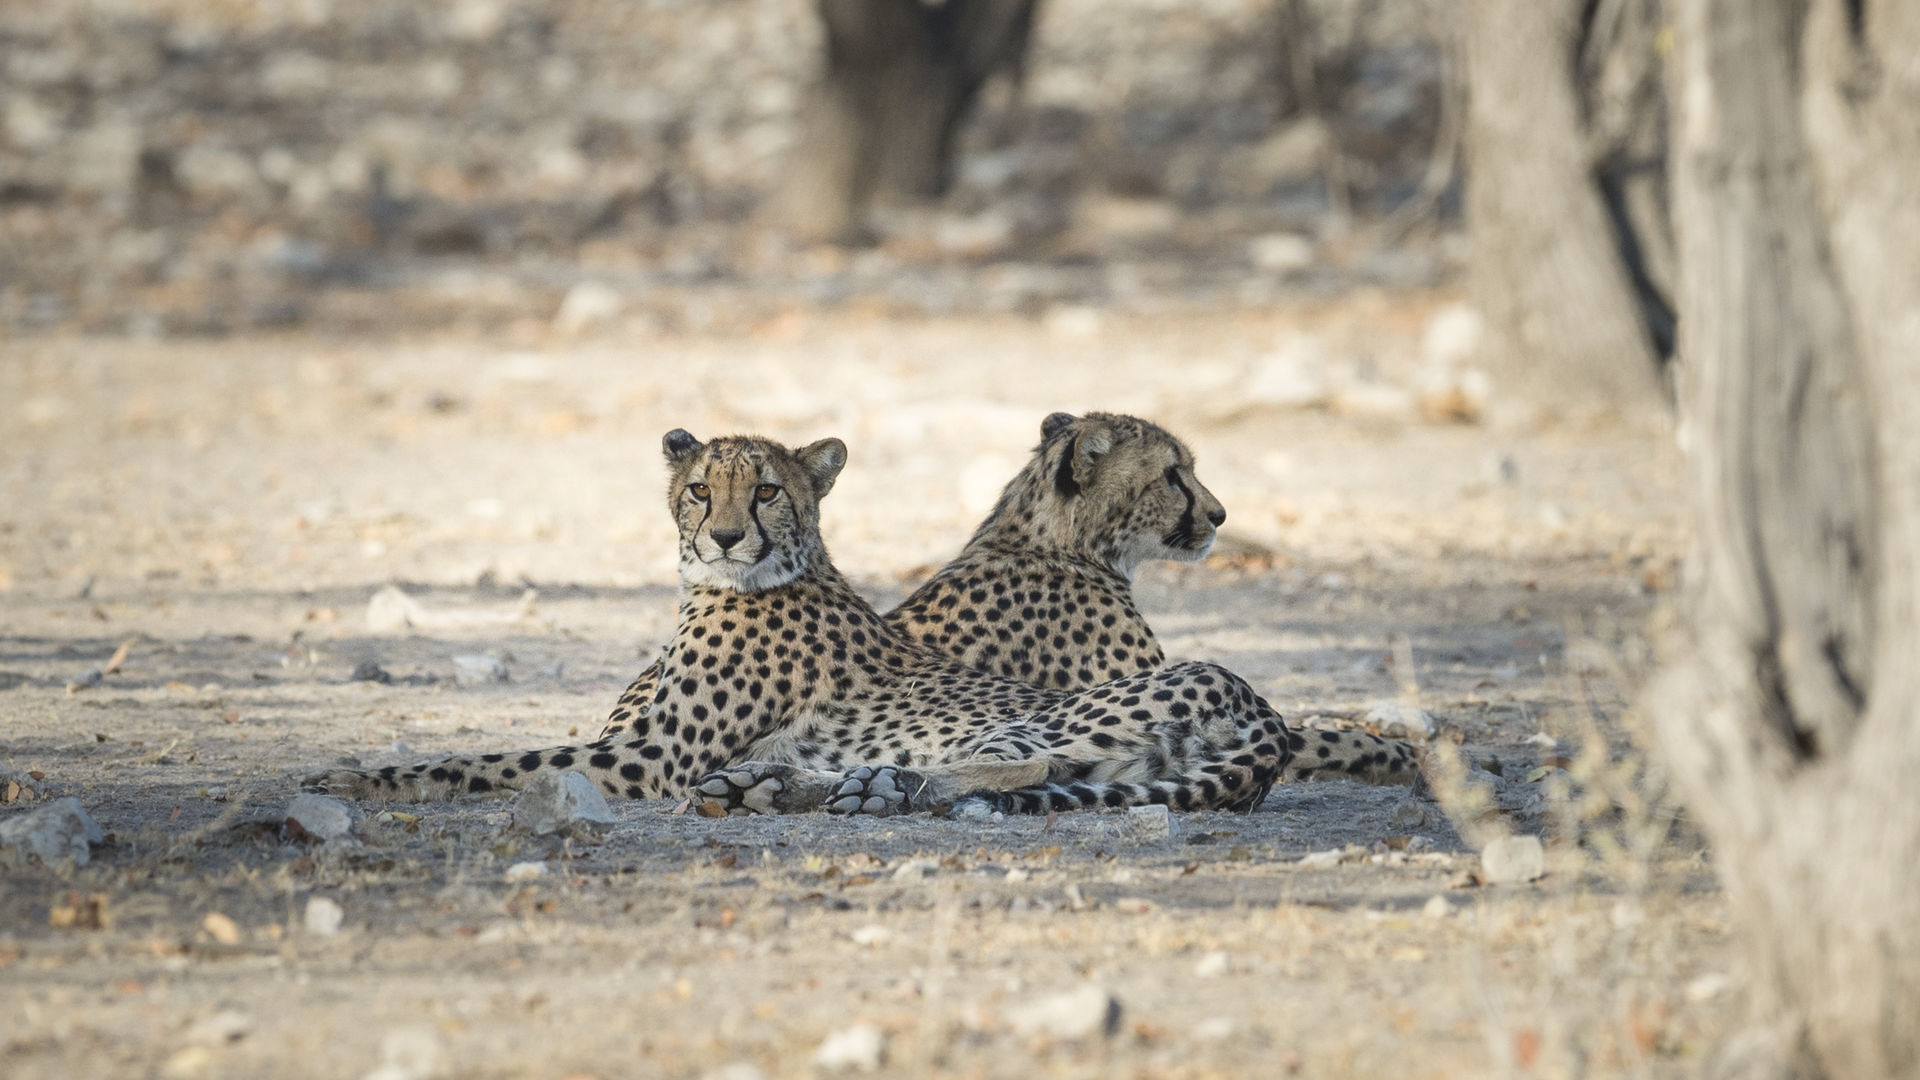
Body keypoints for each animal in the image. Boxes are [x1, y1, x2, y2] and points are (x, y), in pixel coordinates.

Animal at [303, 424, 1290, 810]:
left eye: (768, 490)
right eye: (702, 489)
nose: (728, 536)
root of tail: (1266, 715)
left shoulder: (649, 758)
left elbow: (486, 760)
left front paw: (350, 778)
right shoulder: (645, 747)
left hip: (1047, 716)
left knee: (1025, 765)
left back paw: (871, 787)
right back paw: (782, 786)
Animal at [591, 409, 1420, 780]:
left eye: (767, 492)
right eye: (1172, 474)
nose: (1217, 516)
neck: (1049, 540)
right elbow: (1317, 732)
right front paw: (1391, 749)